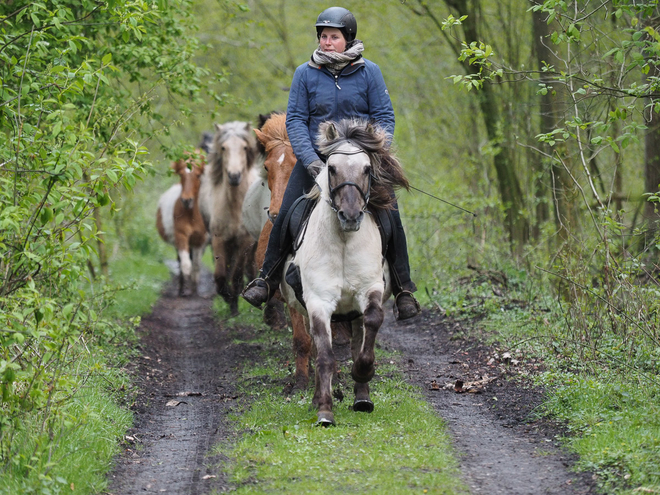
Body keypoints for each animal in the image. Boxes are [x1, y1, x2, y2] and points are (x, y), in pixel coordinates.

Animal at [156, 151, 208, 296]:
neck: (191, 214)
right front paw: (184, 288)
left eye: (198, 175)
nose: (186, 200)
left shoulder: (199, 240)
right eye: (181, 175)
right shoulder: (181, 236)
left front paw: (195, 289)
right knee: (181, 262)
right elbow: (185, 265)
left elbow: (196, 265)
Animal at [200, 121, 262, 314]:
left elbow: (236, 275)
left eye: (244, 147)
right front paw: (227, 298)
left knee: (248, 268)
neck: (235, 206)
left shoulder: (244, 241)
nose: (234, 176)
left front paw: (234, 303)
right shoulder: (219, 239)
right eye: (223, 148)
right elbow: (220, 275)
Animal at [278, 120, 408, 426]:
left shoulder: (369, 290)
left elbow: (372, 324)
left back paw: (362, 399)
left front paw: (362, 372)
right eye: (332, 168)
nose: (350, 215)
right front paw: (325, 410)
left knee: (359, 339)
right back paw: (318, 399)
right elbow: (324, 356)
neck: (344, 242)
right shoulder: (318, 301)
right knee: (317, 347)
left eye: (367, 169)